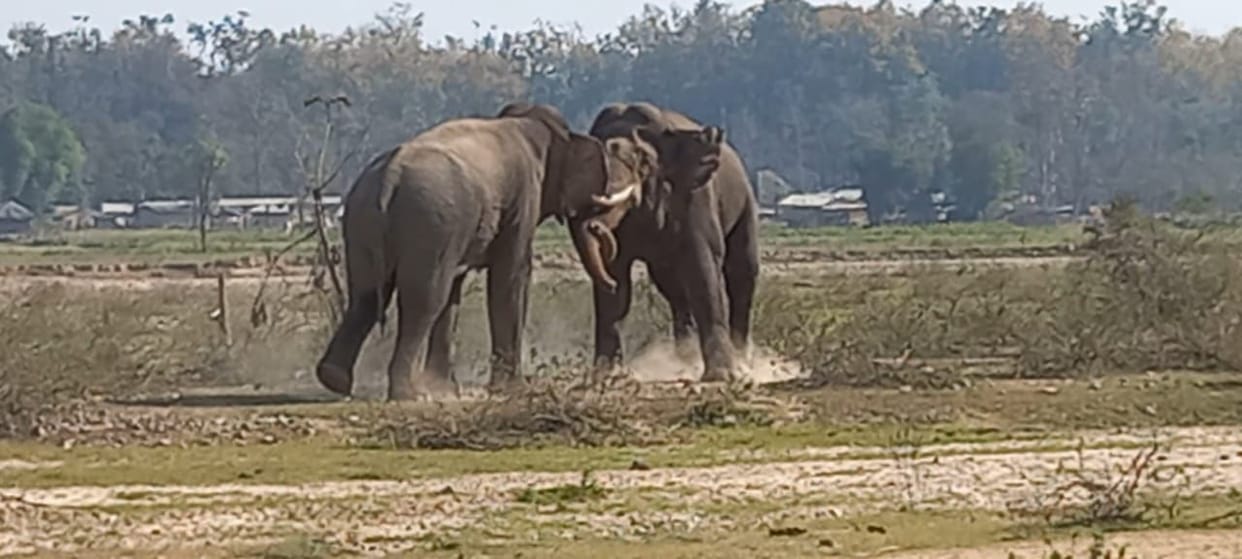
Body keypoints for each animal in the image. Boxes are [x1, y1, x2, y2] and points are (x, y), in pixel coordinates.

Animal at [315, 102, 655, 401]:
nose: (612, 281)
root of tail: (389, 178)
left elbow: (455, 290)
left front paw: (446, 390)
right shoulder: (522, 198)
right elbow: (511, 276)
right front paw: (513, 389)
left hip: (365, 222)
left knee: (365, 295)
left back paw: (335, 380)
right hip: (428, 220)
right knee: (424, 300)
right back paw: (408, 394)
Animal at [572, 102, 760, 382]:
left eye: (642, 160)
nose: (596, 227)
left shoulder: (694, 197)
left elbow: (703, 269)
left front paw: (722, 376)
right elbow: (617, 286)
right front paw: (606, 376)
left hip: (745, 204)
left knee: (741, 274)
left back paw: (741, 360)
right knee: (673, 290)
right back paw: (685, 360)